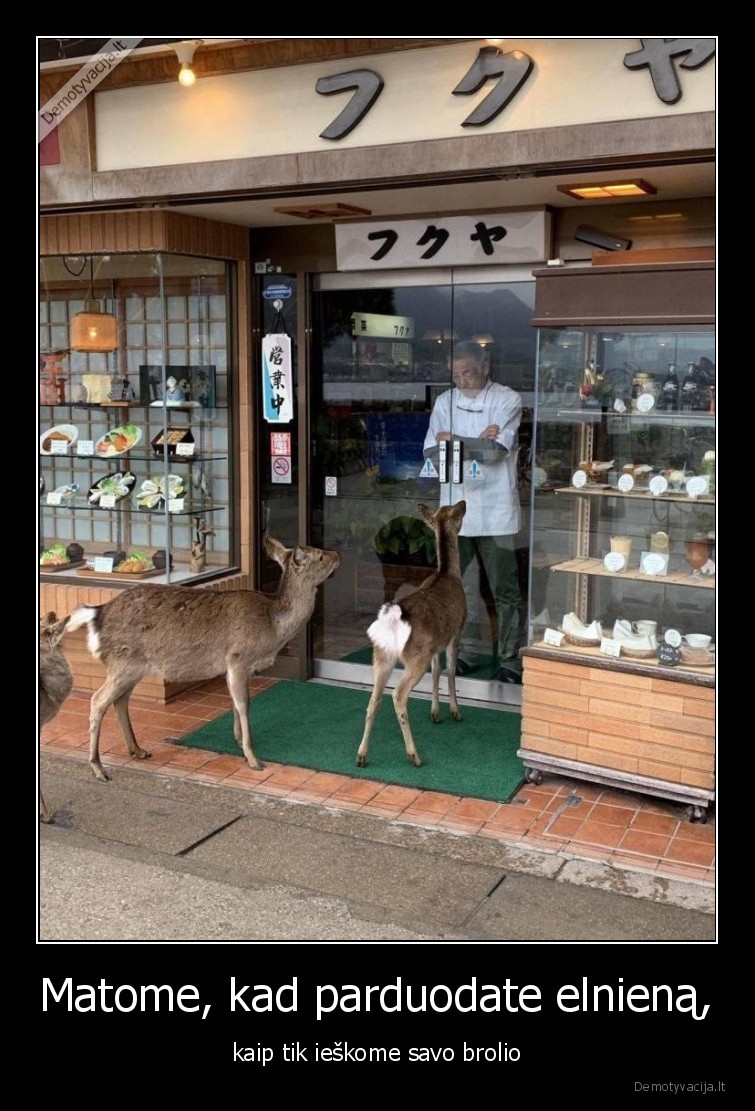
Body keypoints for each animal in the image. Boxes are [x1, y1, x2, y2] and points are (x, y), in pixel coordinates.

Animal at [66, 535, 339, 782]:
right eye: (320, 556)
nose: (337, 555)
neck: (273, 626)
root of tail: (97, 615)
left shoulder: (236, 667)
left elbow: (235, 702)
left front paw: (238, 740)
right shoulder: (238, 658)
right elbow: (244, 703)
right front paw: (253, 759)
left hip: (132, 667)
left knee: (120, 701)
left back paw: (138, 750)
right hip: (123, 662)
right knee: (97, 701)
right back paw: (98, 767)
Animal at [355, 499, 466, 768]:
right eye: (457, 514)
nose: (464, 503)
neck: (448, 573)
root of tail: (395, 615)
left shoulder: (437, 642)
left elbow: (437, 671)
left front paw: (435, 713)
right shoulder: (456, 630)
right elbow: (450, 670)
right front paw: (455, 711)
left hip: (381, 655)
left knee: (373, 699)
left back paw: (361, 755)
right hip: (416, 656)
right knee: (398, 694)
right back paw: (414, 755)